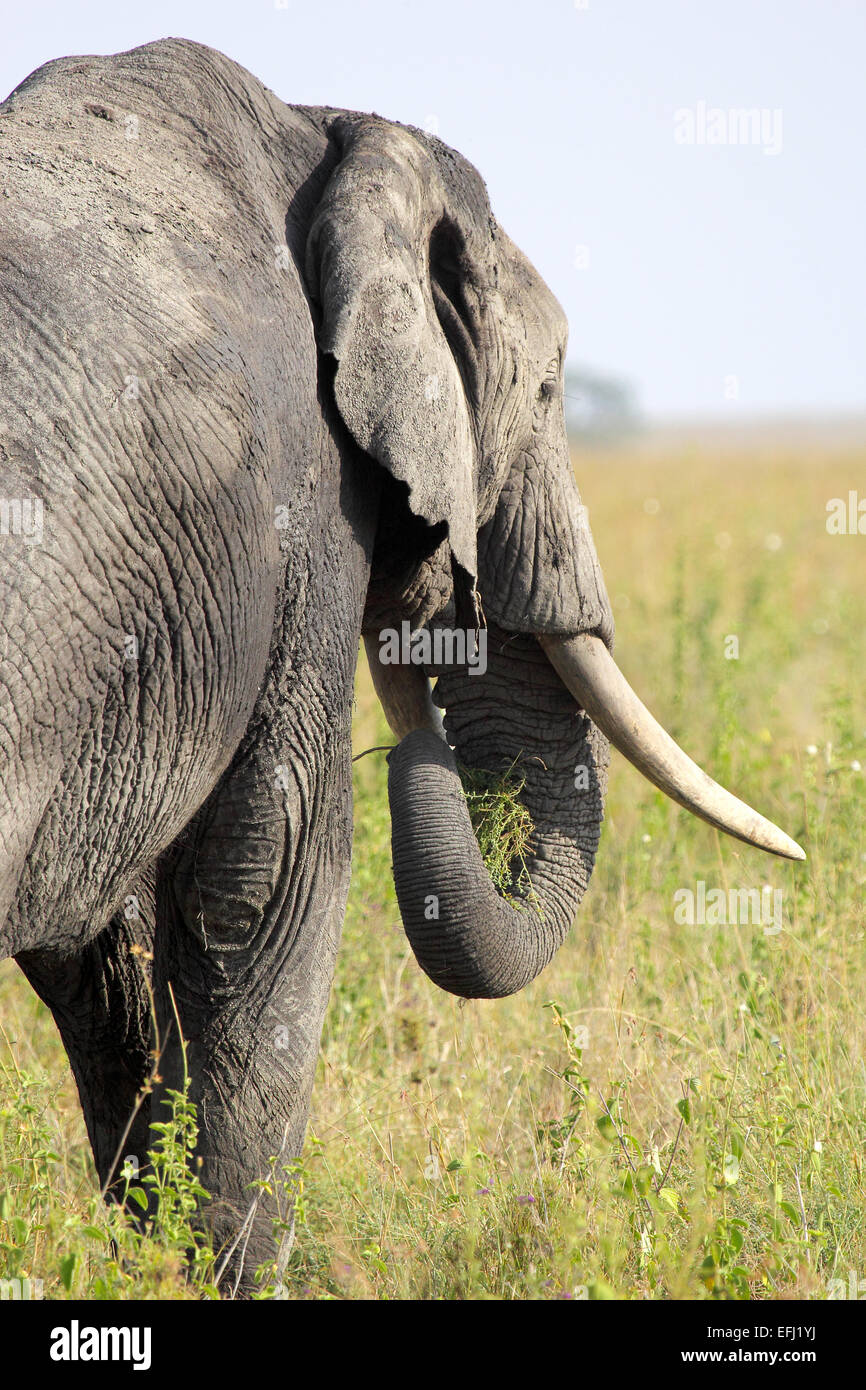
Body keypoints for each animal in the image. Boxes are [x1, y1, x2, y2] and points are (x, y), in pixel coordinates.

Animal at [0, 35, 806, 1289]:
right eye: (544, 389)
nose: (415, 714)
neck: (326, 129)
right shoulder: (297, 501)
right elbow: (269, 870)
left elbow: (106, 950)